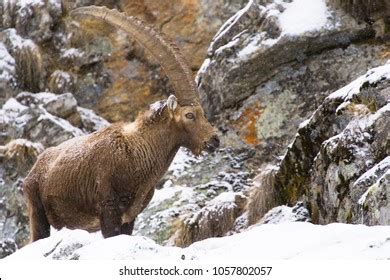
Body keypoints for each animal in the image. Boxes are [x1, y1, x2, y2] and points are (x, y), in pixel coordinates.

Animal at [23, 6, 219, 243]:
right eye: (190, 115)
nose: (214, 140)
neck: (137, 152)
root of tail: (34, 168)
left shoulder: (130, 218)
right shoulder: (108, 211)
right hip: (37, 213)